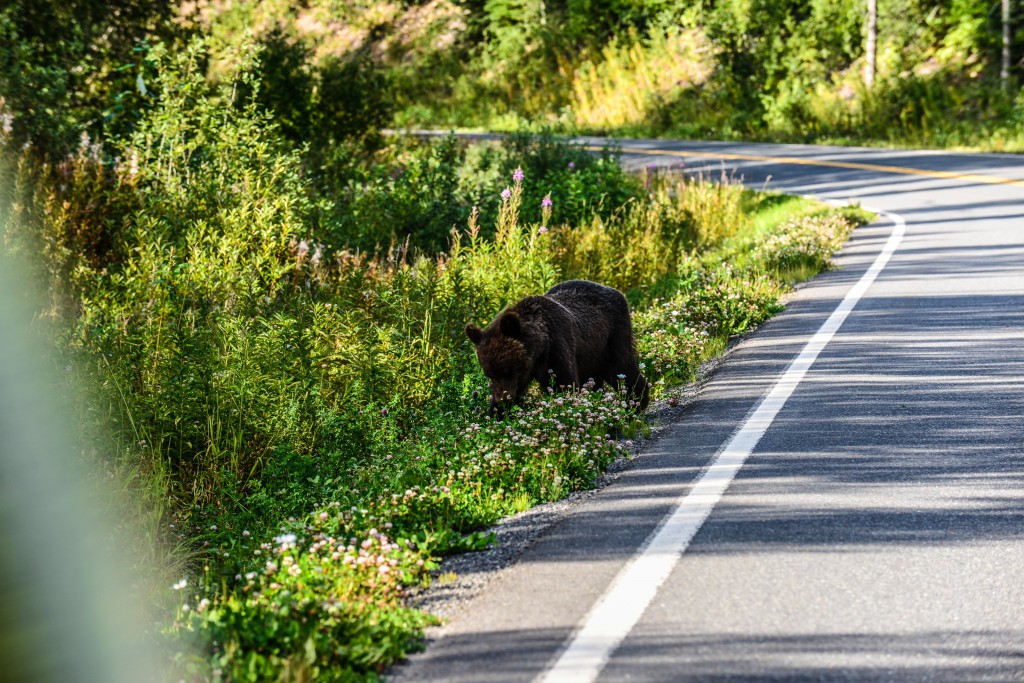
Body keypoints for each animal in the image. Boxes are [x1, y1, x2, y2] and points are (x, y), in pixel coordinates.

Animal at [464, 278, 647, 417]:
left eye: (507, 370)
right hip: (591, 352)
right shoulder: (524, 372)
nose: (502, 399)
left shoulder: (556, 348)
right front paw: (497, 414)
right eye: (489, 374)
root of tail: (616, 291)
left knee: (621, 367)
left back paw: (637, 403)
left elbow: (563, 383)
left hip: (611, 335)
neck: (538, 350)